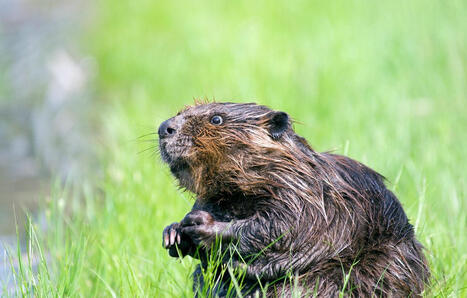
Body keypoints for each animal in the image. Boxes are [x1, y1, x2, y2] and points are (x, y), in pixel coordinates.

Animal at [161, 102, 432, 296]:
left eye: (216, 119)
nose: (164, 127)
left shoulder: (306, 196)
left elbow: (281, 228)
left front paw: (201, 224)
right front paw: (173, 233)